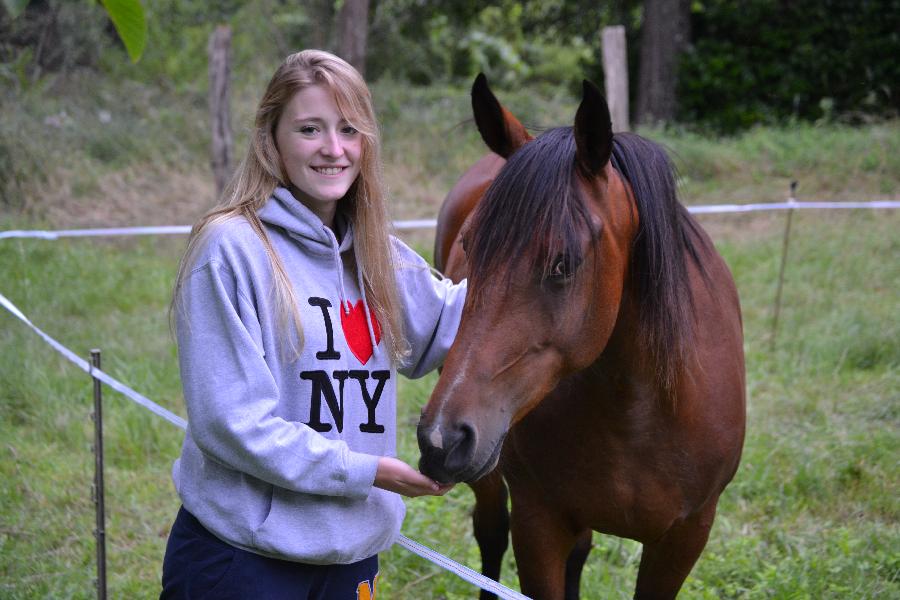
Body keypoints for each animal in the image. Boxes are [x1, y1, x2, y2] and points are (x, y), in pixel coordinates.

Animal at [414, 76, 744, 600]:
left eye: (563, 263)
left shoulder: (684, 537)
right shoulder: (538, 523)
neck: (642, 411)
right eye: (470, 247)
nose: (441, 438)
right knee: (490, 530)